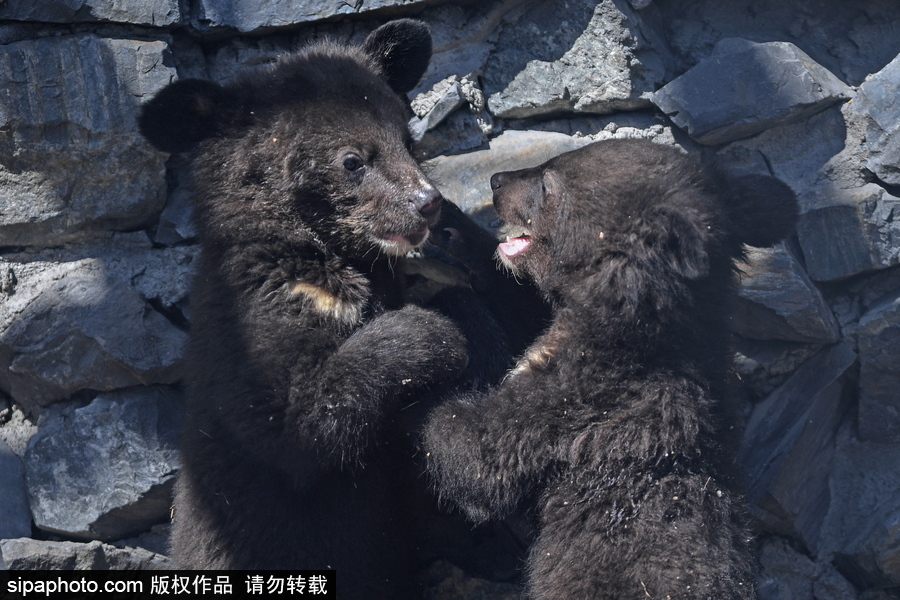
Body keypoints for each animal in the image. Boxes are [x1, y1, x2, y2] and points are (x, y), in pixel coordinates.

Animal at [138, 20, 470, 598]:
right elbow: (294, 420)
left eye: (408, 141)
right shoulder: (254, 312)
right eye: (353, 160)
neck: (320, 250)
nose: (426, 203)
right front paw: (434, 333)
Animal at [423, 139, 799, 600]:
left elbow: (476, 455)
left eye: (548, 182)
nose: (496, 179)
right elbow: (524, 316)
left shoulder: (580, 404)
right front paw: (457, 231)